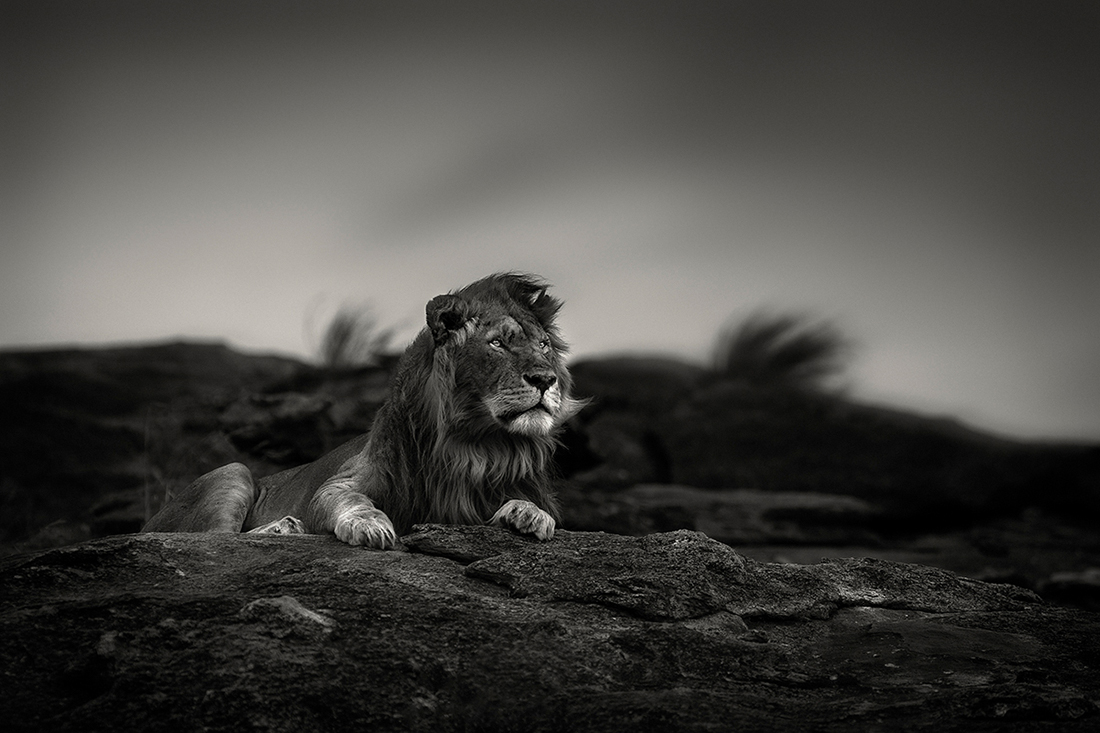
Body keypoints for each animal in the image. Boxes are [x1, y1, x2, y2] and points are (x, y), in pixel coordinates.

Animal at [141, 272, 587, 549]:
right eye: (497, 344)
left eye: (544, 346)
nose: (545, 379)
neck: (476, 445)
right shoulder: (342, 482)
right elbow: (349, 500)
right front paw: (368, 524)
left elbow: (530, 507)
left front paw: (528, 514)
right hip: (232, 472)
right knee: (211, 538)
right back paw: (285, 527)